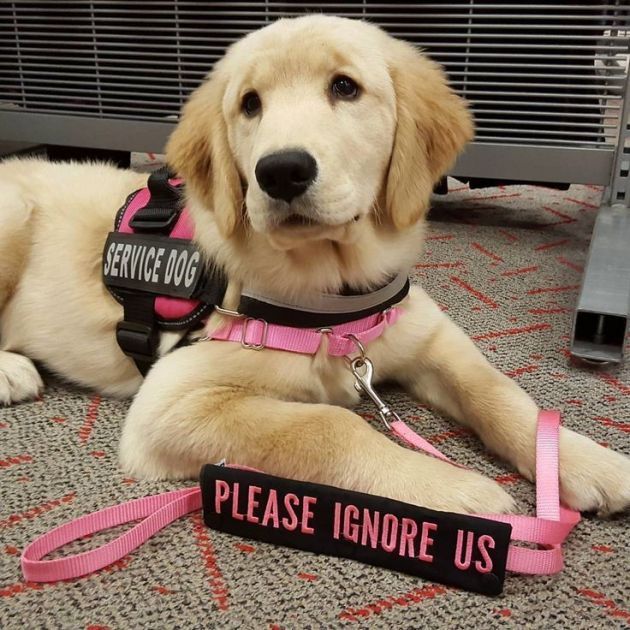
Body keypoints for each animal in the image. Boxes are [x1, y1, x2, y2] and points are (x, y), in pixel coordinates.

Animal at [1, 16, 630, 520]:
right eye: (249, 103)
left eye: (345, 87)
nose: (280, 171)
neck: (335, 297)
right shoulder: (171, 401)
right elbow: (326, 424)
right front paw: (452, 491)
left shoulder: (429, 334)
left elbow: (496, 389)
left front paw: (583, 461)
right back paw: (12, 371)